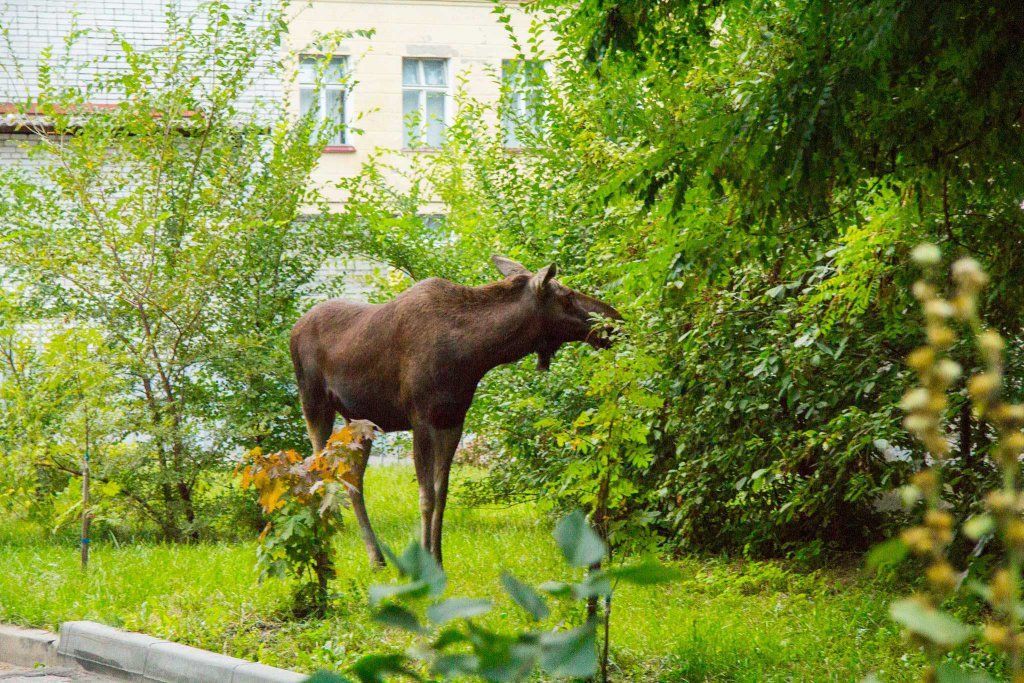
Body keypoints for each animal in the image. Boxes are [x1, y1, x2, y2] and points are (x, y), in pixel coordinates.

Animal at [289, 255, 622, 567]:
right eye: (567, 295)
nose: (614, 320)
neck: (474, 354)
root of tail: (293, 329)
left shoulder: (453, 420)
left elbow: (442, 494)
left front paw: (437, 559)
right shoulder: (421, 419)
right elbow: (426, 497)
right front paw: (424, 561)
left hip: (359, 421)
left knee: (352, 480)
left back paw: (376, 557)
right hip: (314, 403)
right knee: (318, 470)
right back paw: (323, 549)